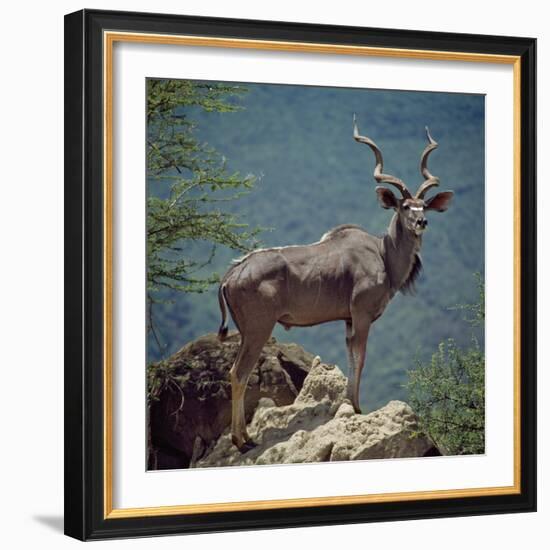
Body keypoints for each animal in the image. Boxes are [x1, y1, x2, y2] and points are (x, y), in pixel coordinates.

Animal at [218, 117, 454, 452]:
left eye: (423, 205)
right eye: (405, 206)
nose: (422, 222)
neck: (383, 253)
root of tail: (231, 274)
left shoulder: (348, 320)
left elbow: (351, 357)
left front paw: (349, 405)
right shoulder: (362, 315)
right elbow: (361, 358)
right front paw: (356, 408)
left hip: (246, 332)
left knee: (235, 371)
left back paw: (245, 437)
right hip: (258, 329)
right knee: (239, 373)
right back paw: (242, 441)